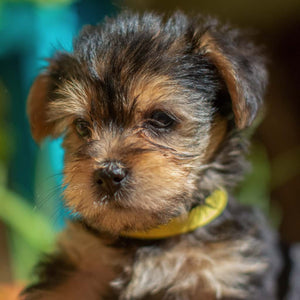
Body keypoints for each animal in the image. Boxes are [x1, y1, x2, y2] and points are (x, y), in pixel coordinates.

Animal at [22, 11, 282, 300]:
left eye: (161, 119)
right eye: (81, 126)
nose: (108, 174)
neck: (150, 235)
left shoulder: (221, 272)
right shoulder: (79, 266)